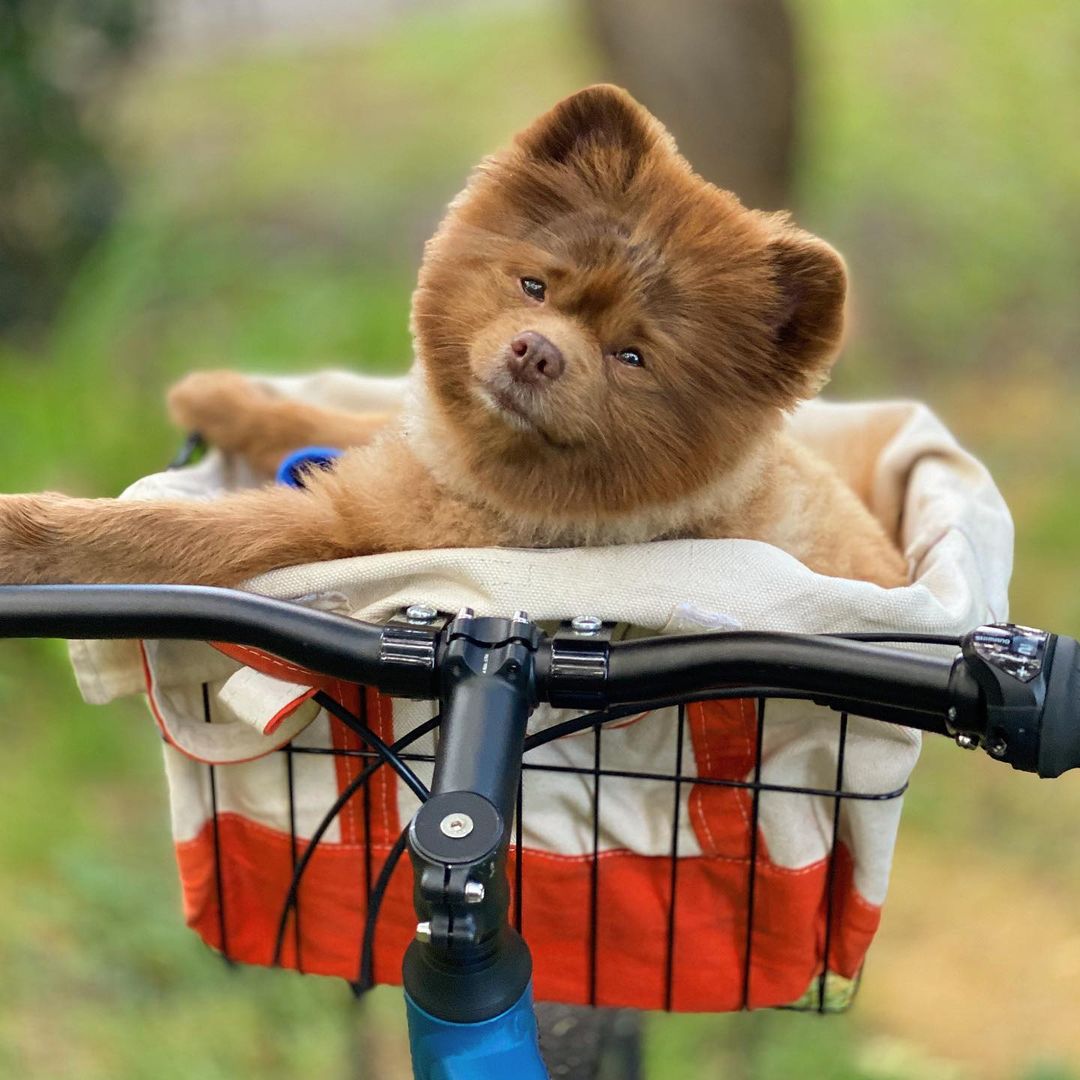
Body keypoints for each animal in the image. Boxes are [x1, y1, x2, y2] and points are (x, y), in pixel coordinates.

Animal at [0, 84, 907, 591]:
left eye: (633, 358)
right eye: (535, 287)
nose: (537, 350)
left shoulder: (343, 526)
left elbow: (161, 534)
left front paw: (22, 533)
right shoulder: (408, 438)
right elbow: (327, 420)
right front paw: (226, 398)